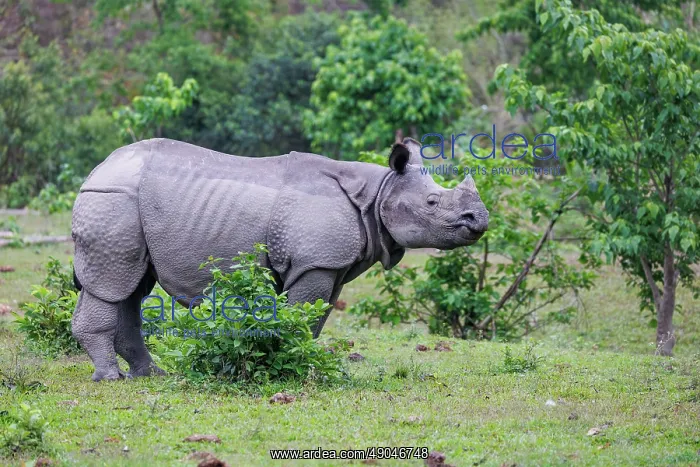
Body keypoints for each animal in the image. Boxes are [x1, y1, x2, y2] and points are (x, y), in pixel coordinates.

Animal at [71, 137, 488, 381]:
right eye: (432, 203)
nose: (479, 220)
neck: (379, 191)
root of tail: (96, 170)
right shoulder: (315, 262)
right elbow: (302, 316)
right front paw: (298, 365)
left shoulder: (329, 265)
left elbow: (315, 318)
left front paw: (304, 360)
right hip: (113, 200)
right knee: (112, 283)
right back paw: (111, 379)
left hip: (124, 202)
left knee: (131, 287)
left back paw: (150, 374)